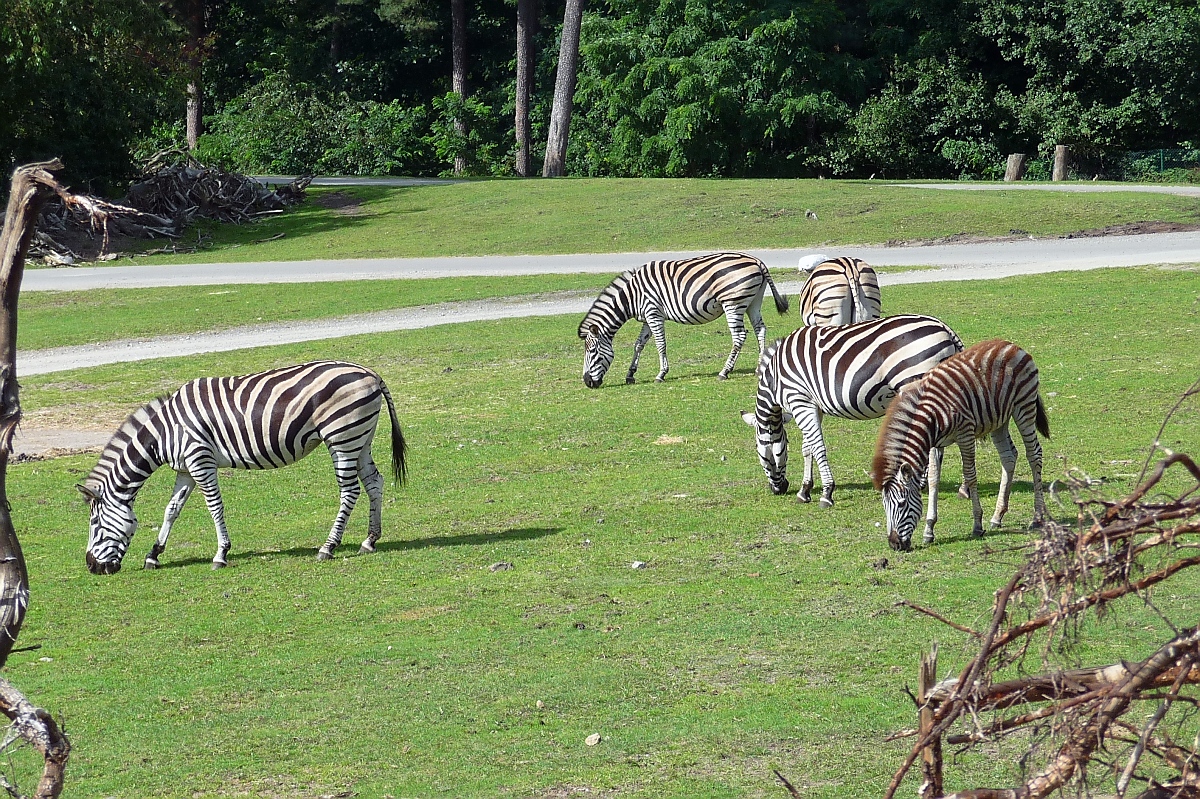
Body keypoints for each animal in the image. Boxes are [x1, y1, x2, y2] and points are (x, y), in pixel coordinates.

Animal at [81, 359, 408, 573]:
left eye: (95, 523)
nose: (92, 567)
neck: (166, 432)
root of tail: (369, 372)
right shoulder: (186, 468)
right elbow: (171, 510)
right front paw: (154, 555)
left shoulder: (201, 461)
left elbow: (215, 507)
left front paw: (221, 554)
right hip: (359, 438)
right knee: (374, 482)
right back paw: (369, 540)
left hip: (342, 437)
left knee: (350, 491)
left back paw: (327, 547)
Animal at [578, 249, 787, 386]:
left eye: (592, 351)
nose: (587, 382)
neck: (632, 296)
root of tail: (756, 260)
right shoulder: (647, 317)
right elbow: (639, 344)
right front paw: (630, 375)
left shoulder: (654, 313)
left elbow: (660, 344)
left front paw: (661, 374)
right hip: (753, 301)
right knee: (760, 329)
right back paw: (759, 367)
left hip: (733, 303)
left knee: (739, 336)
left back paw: (724, 371)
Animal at [739, 311, 964, 523]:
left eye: (758, 450)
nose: (779, 489)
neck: (774, 378)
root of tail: (944, 328)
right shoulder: (812, 405)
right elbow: (807, 447)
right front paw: (805, 490)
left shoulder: (799, 400)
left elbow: (818, 446)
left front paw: (826, 492)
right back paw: (953, 487)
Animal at [873, 338, 1051, 551]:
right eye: (884, 506)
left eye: (901, 503)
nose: (894, 545)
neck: (931, 416)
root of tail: (1009, 344)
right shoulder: (935, 444)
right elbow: (933, 479)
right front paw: (929, 530)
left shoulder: (965, 434)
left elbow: (970, 475)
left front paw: (977, 525)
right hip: (999, 419)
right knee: (1008, 456)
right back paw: (997, 517)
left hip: (1024, 406)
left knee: (1034, 454)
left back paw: (1037, 517)